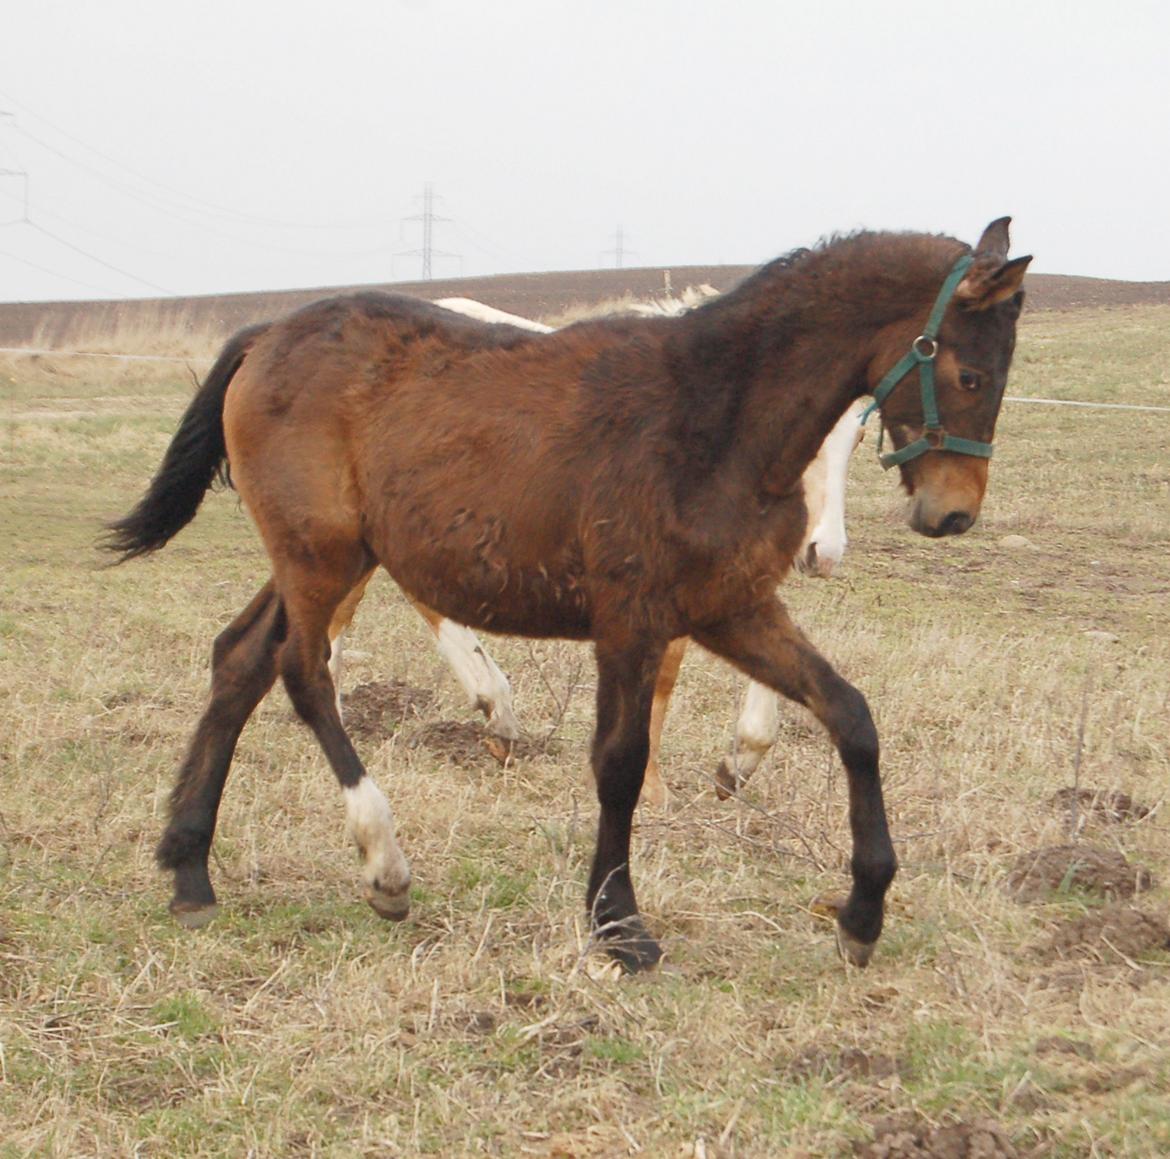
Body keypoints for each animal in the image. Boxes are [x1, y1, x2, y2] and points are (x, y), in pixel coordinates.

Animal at [105, 219, 1029, 968]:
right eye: (971, 375)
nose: (952, 513)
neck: (715, 417)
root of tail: (268, 333)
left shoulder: (732, 608)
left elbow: (850, 717)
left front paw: (861, 913)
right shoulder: (632, 618)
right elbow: (620, 763)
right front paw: (619, 926)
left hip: (329, 558)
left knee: (240, 660)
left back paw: (189, 870)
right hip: (322, 555)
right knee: (303, 671)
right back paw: (384, 863)